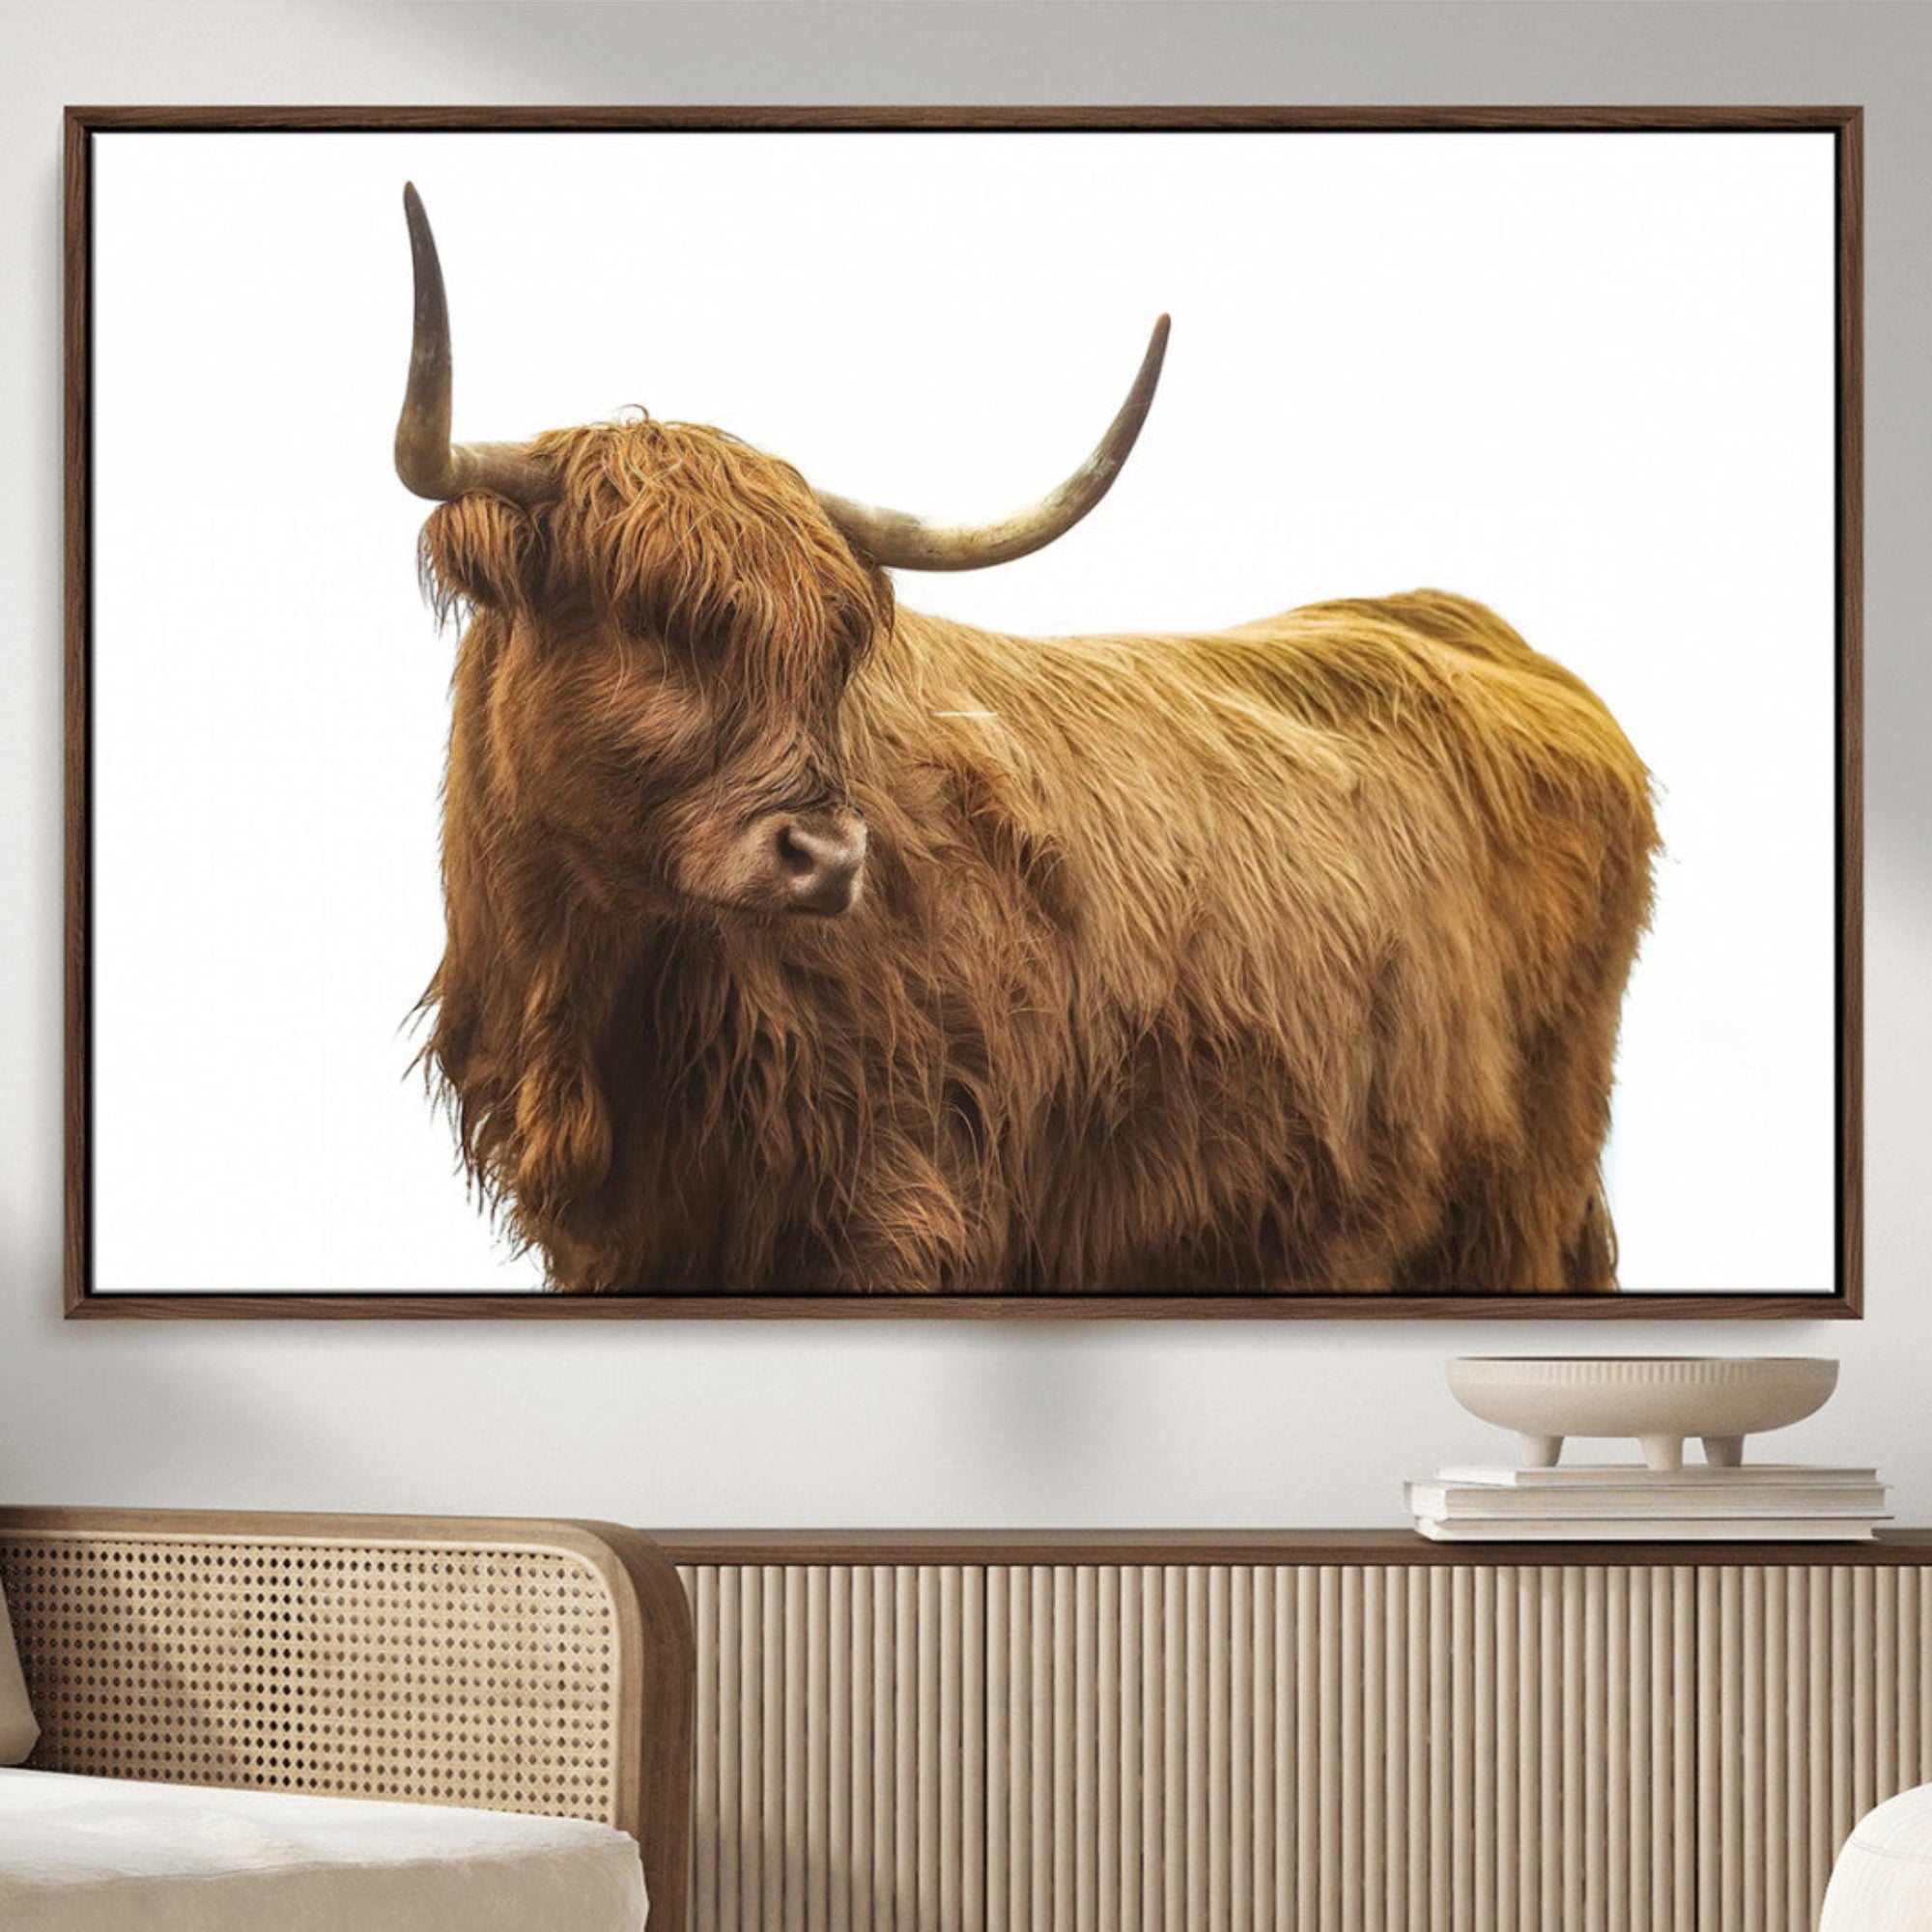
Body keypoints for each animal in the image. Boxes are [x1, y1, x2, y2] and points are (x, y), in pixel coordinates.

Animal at [393, 184, 1657, 1298]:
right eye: (650, 622)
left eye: (835, 651)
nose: (828, 856)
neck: (596, 998)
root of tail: (1463, 626)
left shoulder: (901, 1203)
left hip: (1514, 1195)